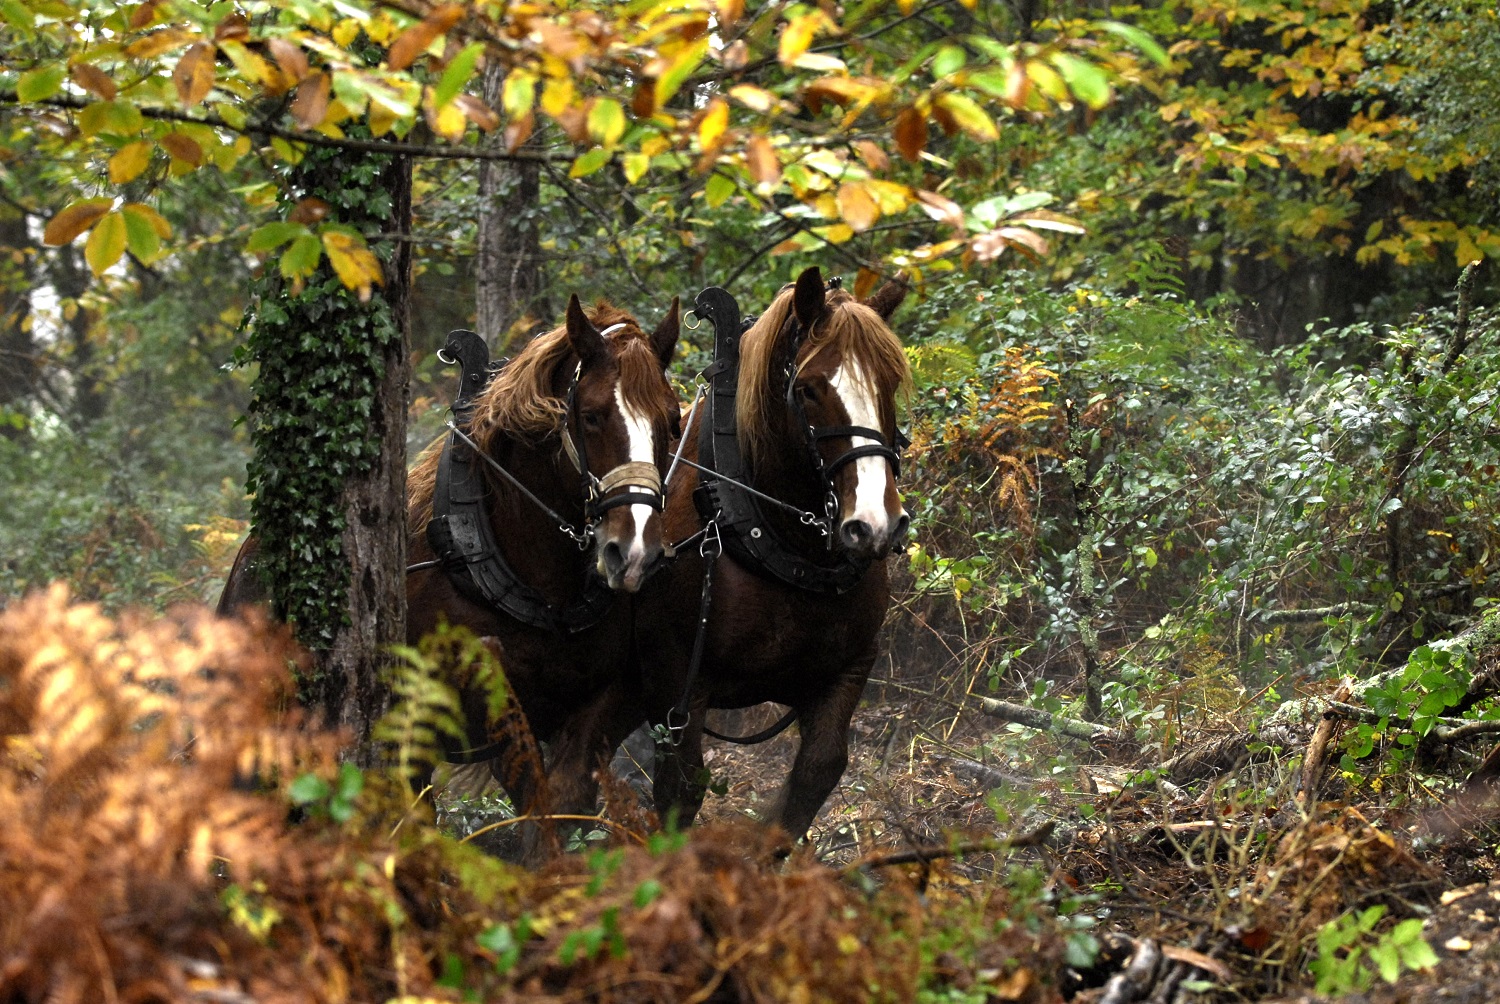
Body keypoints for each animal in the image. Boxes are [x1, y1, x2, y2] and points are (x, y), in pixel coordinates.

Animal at [564, 265, 912, 840]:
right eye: (810, 389)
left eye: (890, 383)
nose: (875, 525)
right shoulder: (677, 683)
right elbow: (681, 789)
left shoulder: (848, 670)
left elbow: (817, 772)